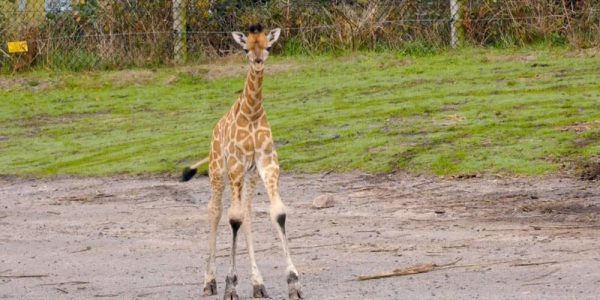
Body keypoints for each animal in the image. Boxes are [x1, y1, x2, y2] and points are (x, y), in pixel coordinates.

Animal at [182, 24, 304, 300]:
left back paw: (258, 284)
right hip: (218, 169)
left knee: (247, 212)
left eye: (268, 47)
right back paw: (209, 282)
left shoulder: (267, 164)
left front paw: (293, 283)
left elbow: (277, 212)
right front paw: (230, 285)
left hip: (250, 175)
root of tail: (214, 130)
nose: (258, 62)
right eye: (246, 49)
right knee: (215, 211)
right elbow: (233, 218)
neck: (252, 112)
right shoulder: (236, 165)